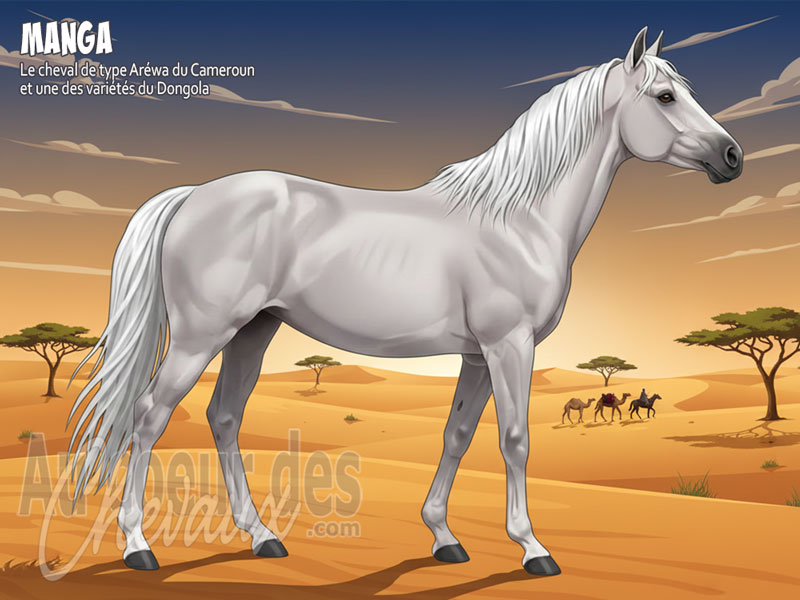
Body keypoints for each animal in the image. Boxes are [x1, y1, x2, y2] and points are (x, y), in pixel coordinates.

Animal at [68, 27, 742, 577]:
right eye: (665, 97)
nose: (732, 157)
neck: (518, 219)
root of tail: (192, 196)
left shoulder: (477, 355)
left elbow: (458, 434)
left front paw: (444, 537)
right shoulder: (509, 346)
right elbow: (515, 439)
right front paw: (533, 549)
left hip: (253, 331)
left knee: (224, 416)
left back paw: (261, 538)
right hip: (200, 336)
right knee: (149, 415)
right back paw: (138, 547)